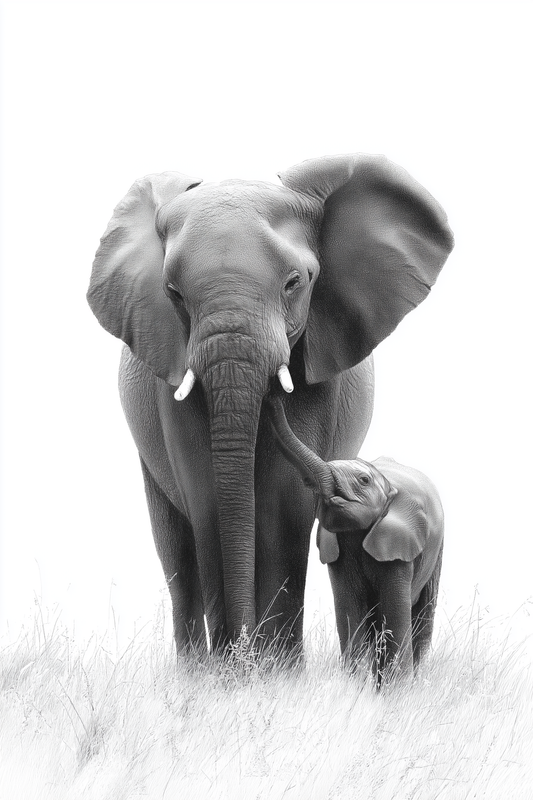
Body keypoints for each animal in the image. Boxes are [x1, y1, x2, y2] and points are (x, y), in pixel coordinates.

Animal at [267, 395, 445, 682]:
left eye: (363, 480)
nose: (273, 397)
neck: (389, 485)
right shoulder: (340, 549)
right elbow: (350, 609)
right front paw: (354, 685)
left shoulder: (398, 547)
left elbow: (394, 613)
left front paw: (397, 688)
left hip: (436, 552)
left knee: (422, 615)